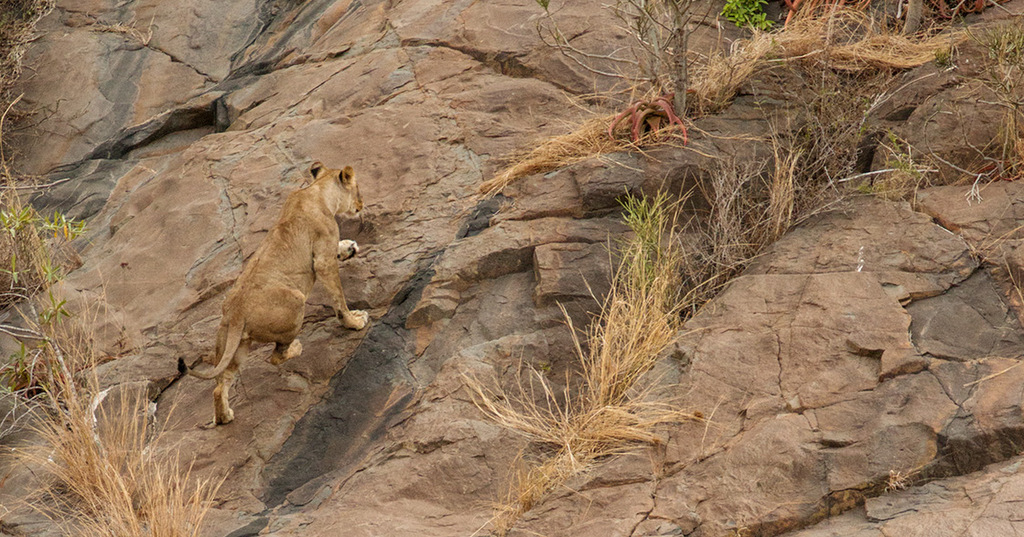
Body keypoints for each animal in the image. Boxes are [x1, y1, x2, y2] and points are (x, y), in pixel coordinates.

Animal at [180, 162, 369, 425]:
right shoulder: (322, 260)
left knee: (219, 385)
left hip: (234, 346)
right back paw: (297, 347)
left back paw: (224, 417)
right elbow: (339, 298)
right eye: (358, 188)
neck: (317, 191)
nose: (362, 204)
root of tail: (236, 311)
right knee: (275, 357)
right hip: (296, 303)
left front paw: (349, 247)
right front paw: (354, 321)